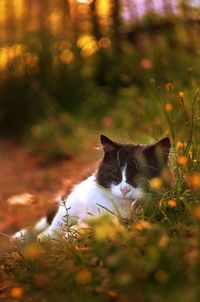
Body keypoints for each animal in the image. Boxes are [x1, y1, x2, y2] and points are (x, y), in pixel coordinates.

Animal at [12, 134, 170, 241]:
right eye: (115, 173)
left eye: (140, 176)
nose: (124, 190)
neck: (113, 202)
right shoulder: (73, 200)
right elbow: (57, 223)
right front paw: (45, 240)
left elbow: (88, 227)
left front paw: (71, 234)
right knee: (48, 218)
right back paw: (21, 236)